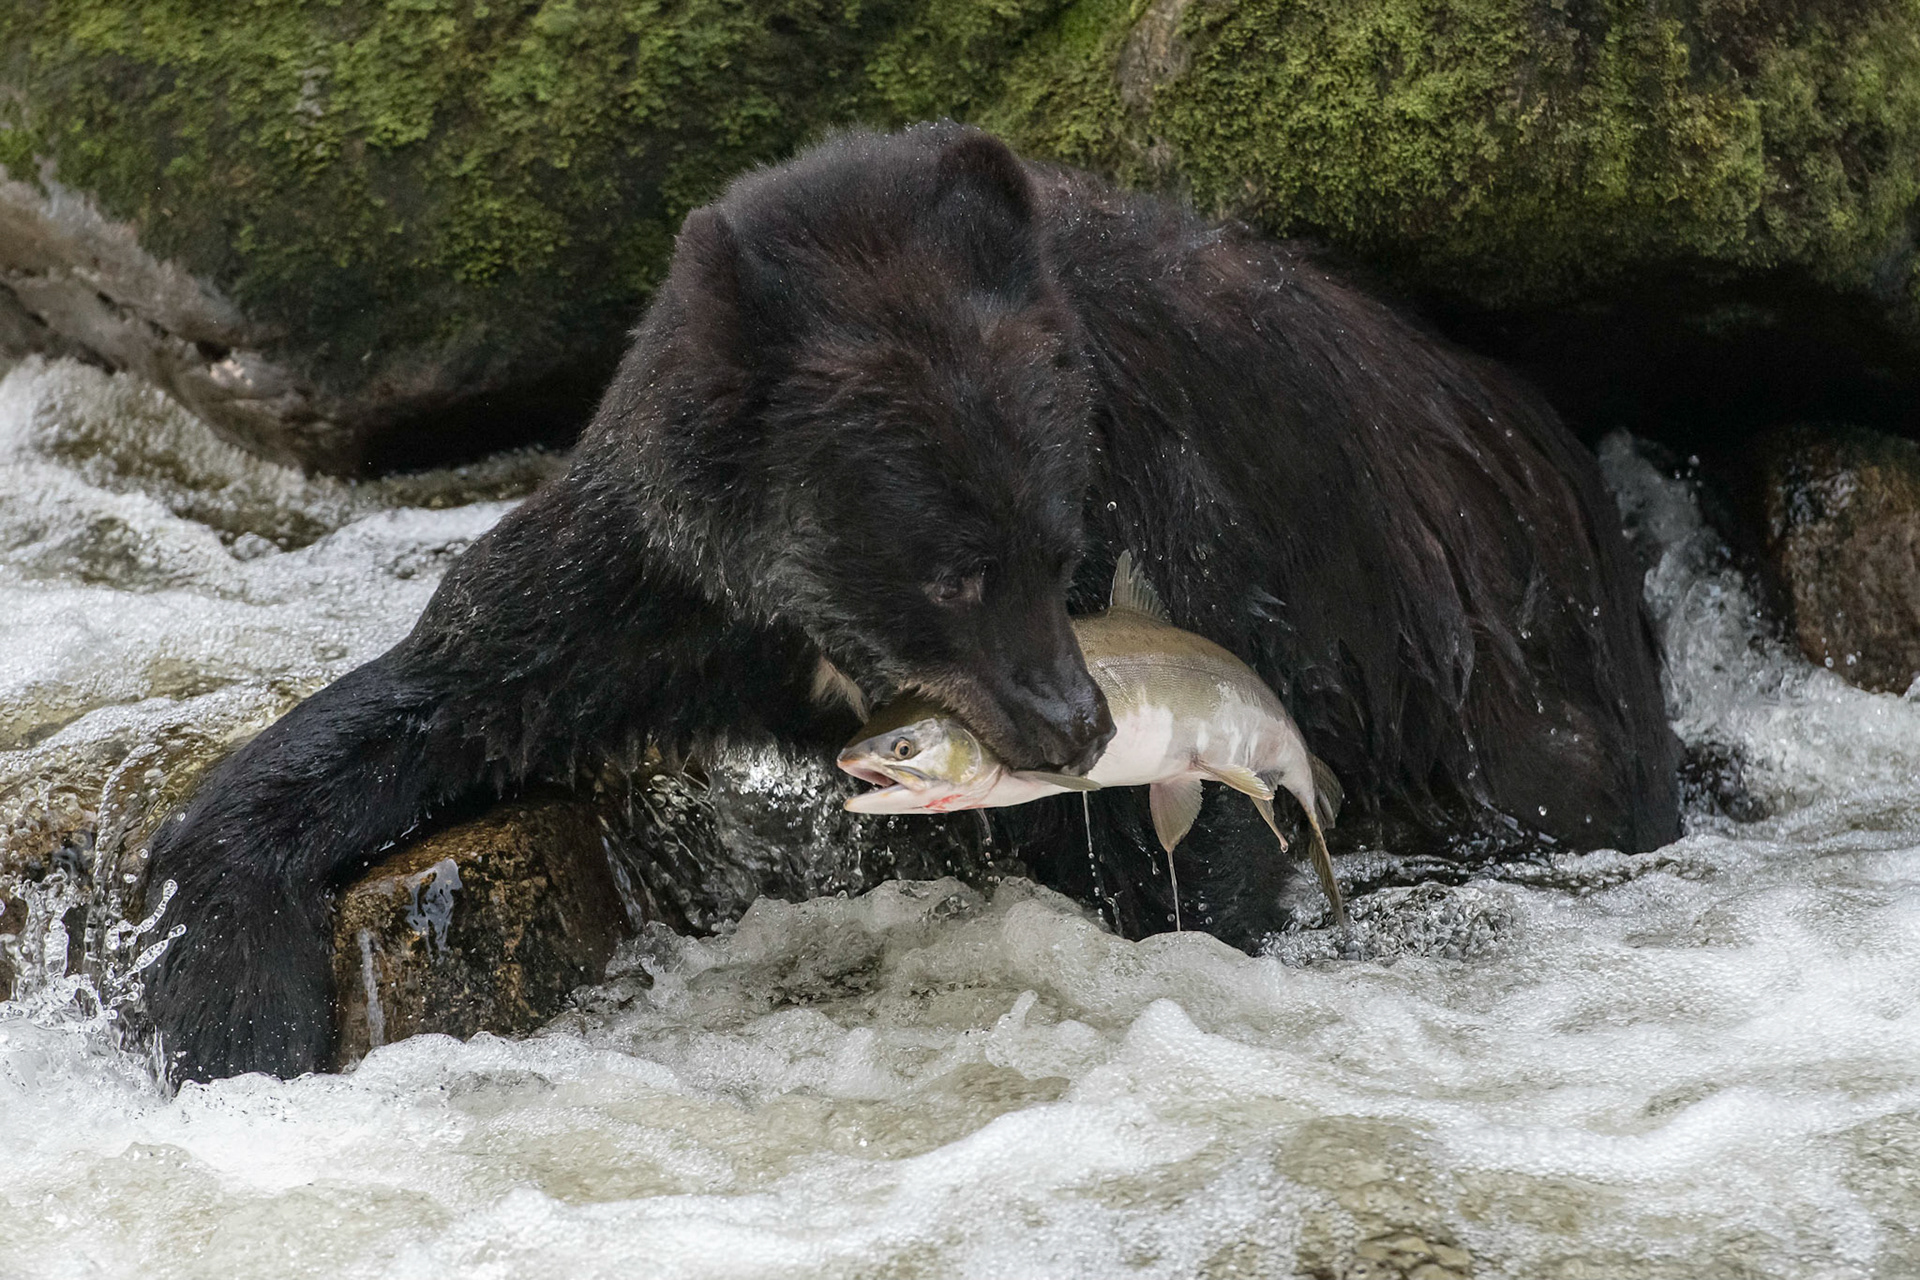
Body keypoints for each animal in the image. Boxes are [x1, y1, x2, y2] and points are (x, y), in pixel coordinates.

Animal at [143, 124, 1680, 1083]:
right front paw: (227, 1001)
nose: (1071, 724)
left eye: (1061, 539)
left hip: (1523, 679)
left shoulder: (1181, 530)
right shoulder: (651, 577)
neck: (812, 624)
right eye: (950, 564)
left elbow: (1187, 865)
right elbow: (449, 688)